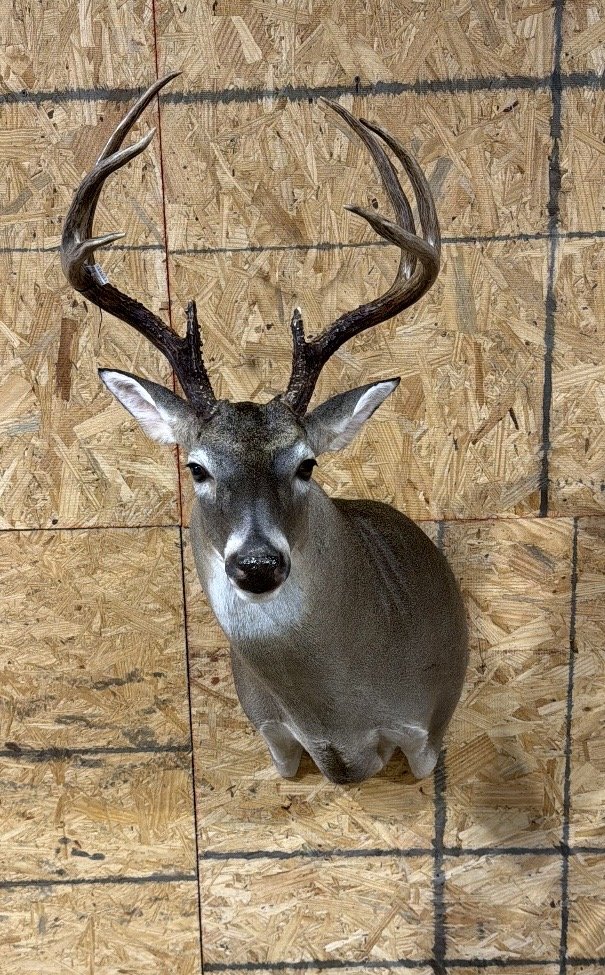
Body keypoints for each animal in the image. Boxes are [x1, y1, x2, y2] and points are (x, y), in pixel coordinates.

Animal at [60, 73, 468, 785]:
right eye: (195, 466)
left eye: (306, 463)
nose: (256, 562)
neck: (338, 721)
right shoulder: (272, 734)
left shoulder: (429, 731)